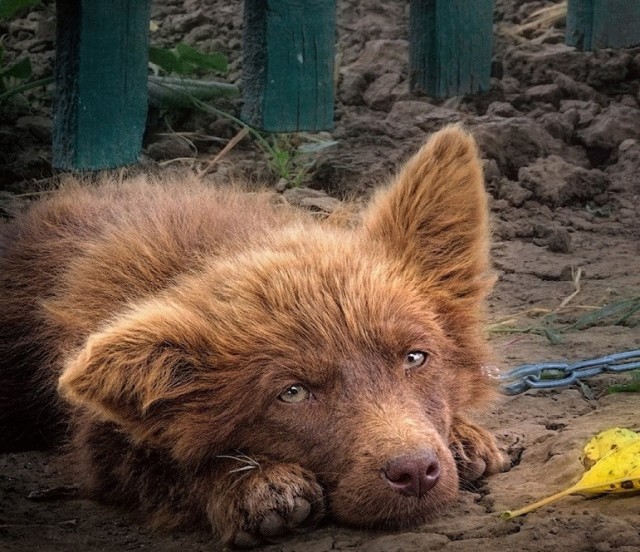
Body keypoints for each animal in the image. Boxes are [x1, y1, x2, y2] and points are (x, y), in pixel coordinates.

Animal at [0, 127, 510, 544]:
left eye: (415, 357)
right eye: (292, 392)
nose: (416, 472)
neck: (216, 248)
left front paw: (464, 436)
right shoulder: (100, 448)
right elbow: (163, 462)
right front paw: (252, 483)